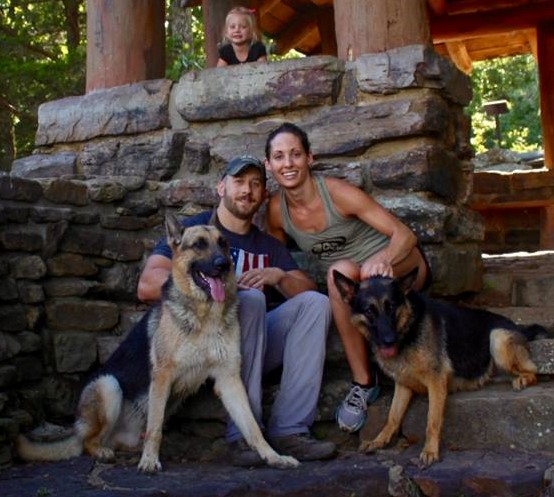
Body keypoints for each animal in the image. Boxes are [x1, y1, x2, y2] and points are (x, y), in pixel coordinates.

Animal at [17, 214, 299, 472]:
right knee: (88, 442)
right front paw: (150, 461)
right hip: (108, 386)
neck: (205, 315)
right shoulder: (162, 377)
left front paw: (273, 457)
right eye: (199, 244)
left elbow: (251, 425)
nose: (223, 265)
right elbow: (155, 428)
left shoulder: (229, 379)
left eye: (223, 244)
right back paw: (103, 452)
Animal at [333, 268, 543, 466]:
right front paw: (379, 440)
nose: (389, 341)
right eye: (369, 311)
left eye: (391, 307)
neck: (409, 329)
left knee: (534, 371)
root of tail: (517, 326)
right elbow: (392, 417)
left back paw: (522, 380)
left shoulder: (436, 382)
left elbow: (432, 421)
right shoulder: (403, 385)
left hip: (497, 338)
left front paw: (430, 451)